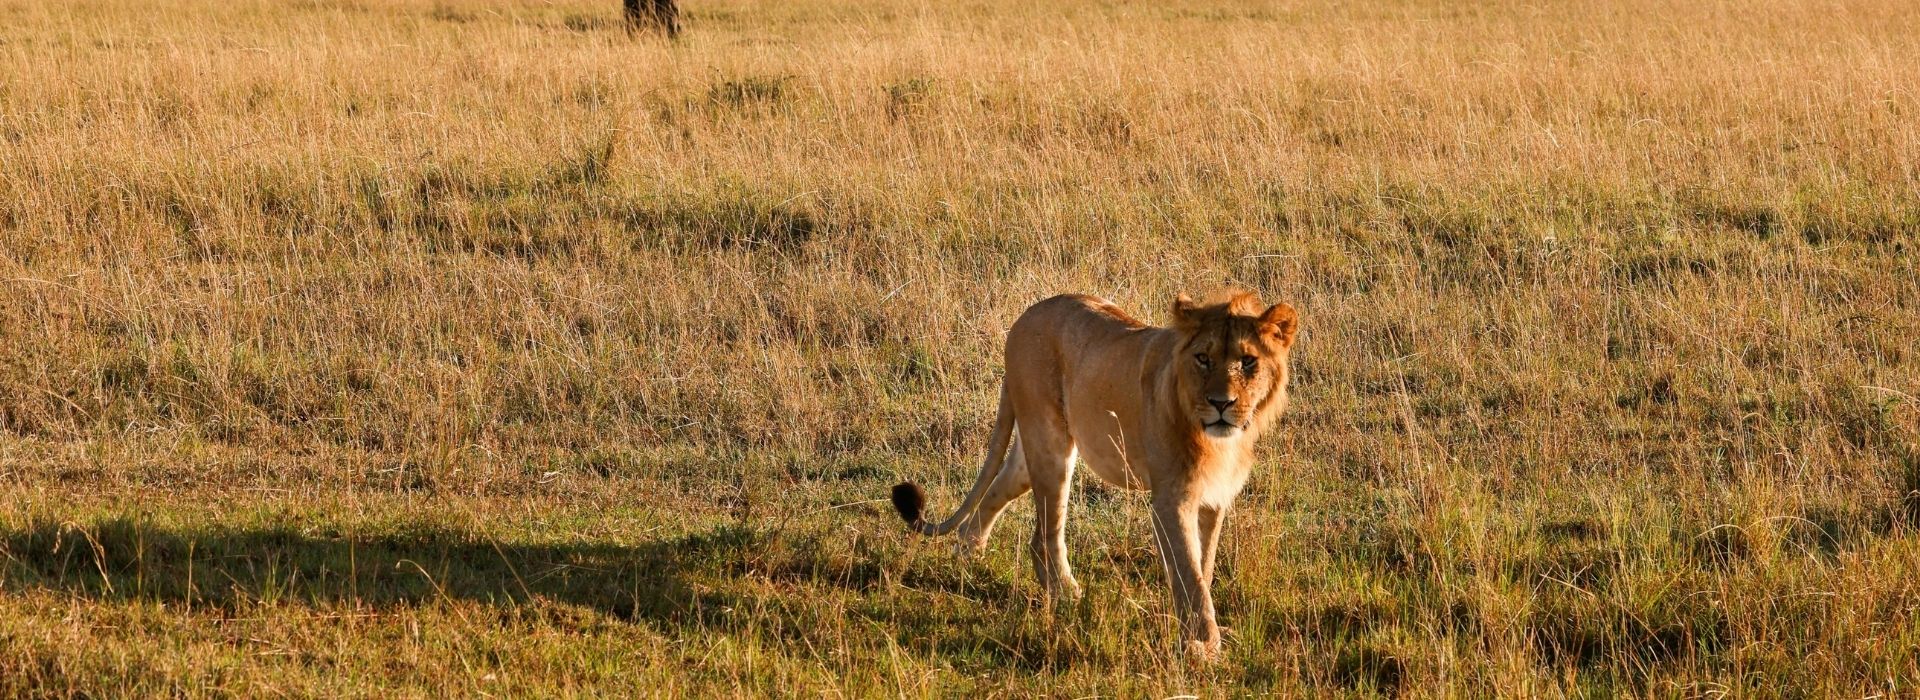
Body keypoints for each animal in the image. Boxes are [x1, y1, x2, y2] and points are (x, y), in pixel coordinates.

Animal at [890, 290, 1299, 659]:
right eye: (1203, 358)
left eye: (1248, 362)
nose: (1221, 403)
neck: (1219, 441)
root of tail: (1025, 317)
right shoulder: (1171, 499)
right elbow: (1190, 574)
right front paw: (1202, 646)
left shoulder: (1213, 500)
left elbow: (1205, 567)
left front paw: (1201, 635)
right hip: (1052, 446)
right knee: (1047, 535)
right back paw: (1067, 594)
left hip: (1029, 455)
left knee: (998, 502)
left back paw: (970, 558)